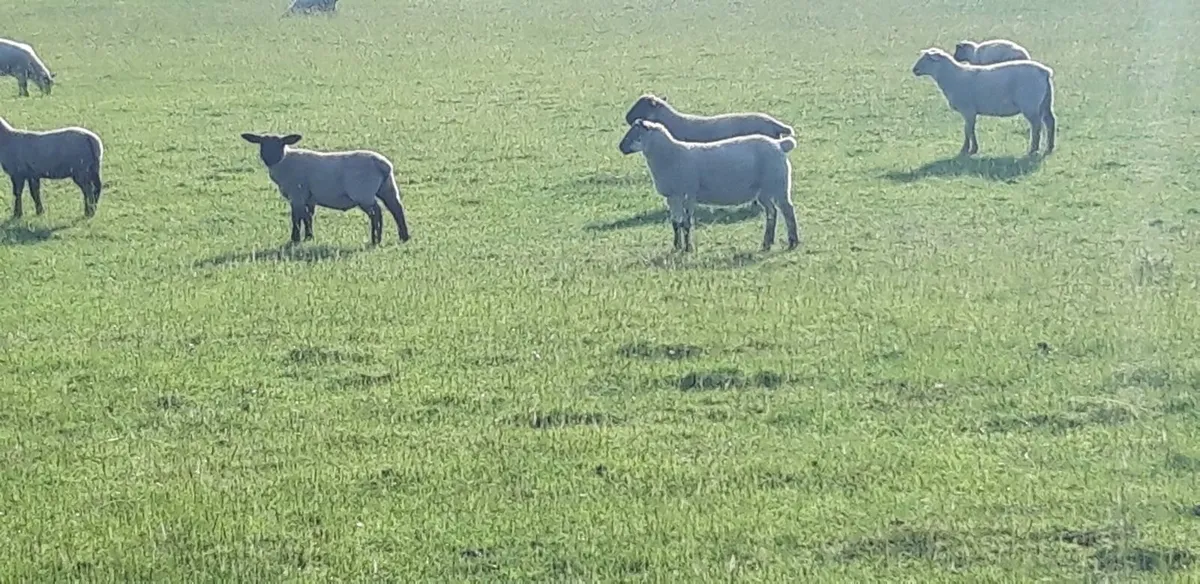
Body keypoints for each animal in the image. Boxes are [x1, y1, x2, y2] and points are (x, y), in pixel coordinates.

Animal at [240, 132, 410, 246]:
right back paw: (404, 237)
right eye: (262, 144)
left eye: (280, 144)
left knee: (376, 213)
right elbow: (307, 216)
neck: (285, 161)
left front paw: (295, 239)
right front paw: (309, 237)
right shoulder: (309, 198)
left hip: (362, 192)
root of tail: (382, 164)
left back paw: (376, 240)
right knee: (396, 209)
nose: (269, 159)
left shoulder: (297, 193)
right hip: (387, 188)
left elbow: (296, 217)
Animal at [617, 119, 800, 253]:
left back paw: (793, 242)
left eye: (636, 132)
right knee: (772, 213)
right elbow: (675, 223)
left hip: (778, 184)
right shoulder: (672, 196)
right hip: (764, 191)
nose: (620, 147)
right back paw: (767, 244)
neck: (671, 155)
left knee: (788, 211)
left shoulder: (688, 193)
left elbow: (686, 223)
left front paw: (687, 249)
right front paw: (676, 247)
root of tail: (780, 144)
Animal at [911, 47, 1056, 157]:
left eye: (928, 59)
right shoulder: (971, 112)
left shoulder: (968, 110)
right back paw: (1049, 148)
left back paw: (1033, 150)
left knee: (1036, 126)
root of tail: (1045, 72)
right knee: (1050, 122)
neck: (952, 76)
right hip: (1045, 102)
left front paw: (967, 150)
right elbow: (969, 129)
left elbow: (968, 130)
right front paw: (972, 149)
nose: (914, 70)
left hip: (1030, 104)